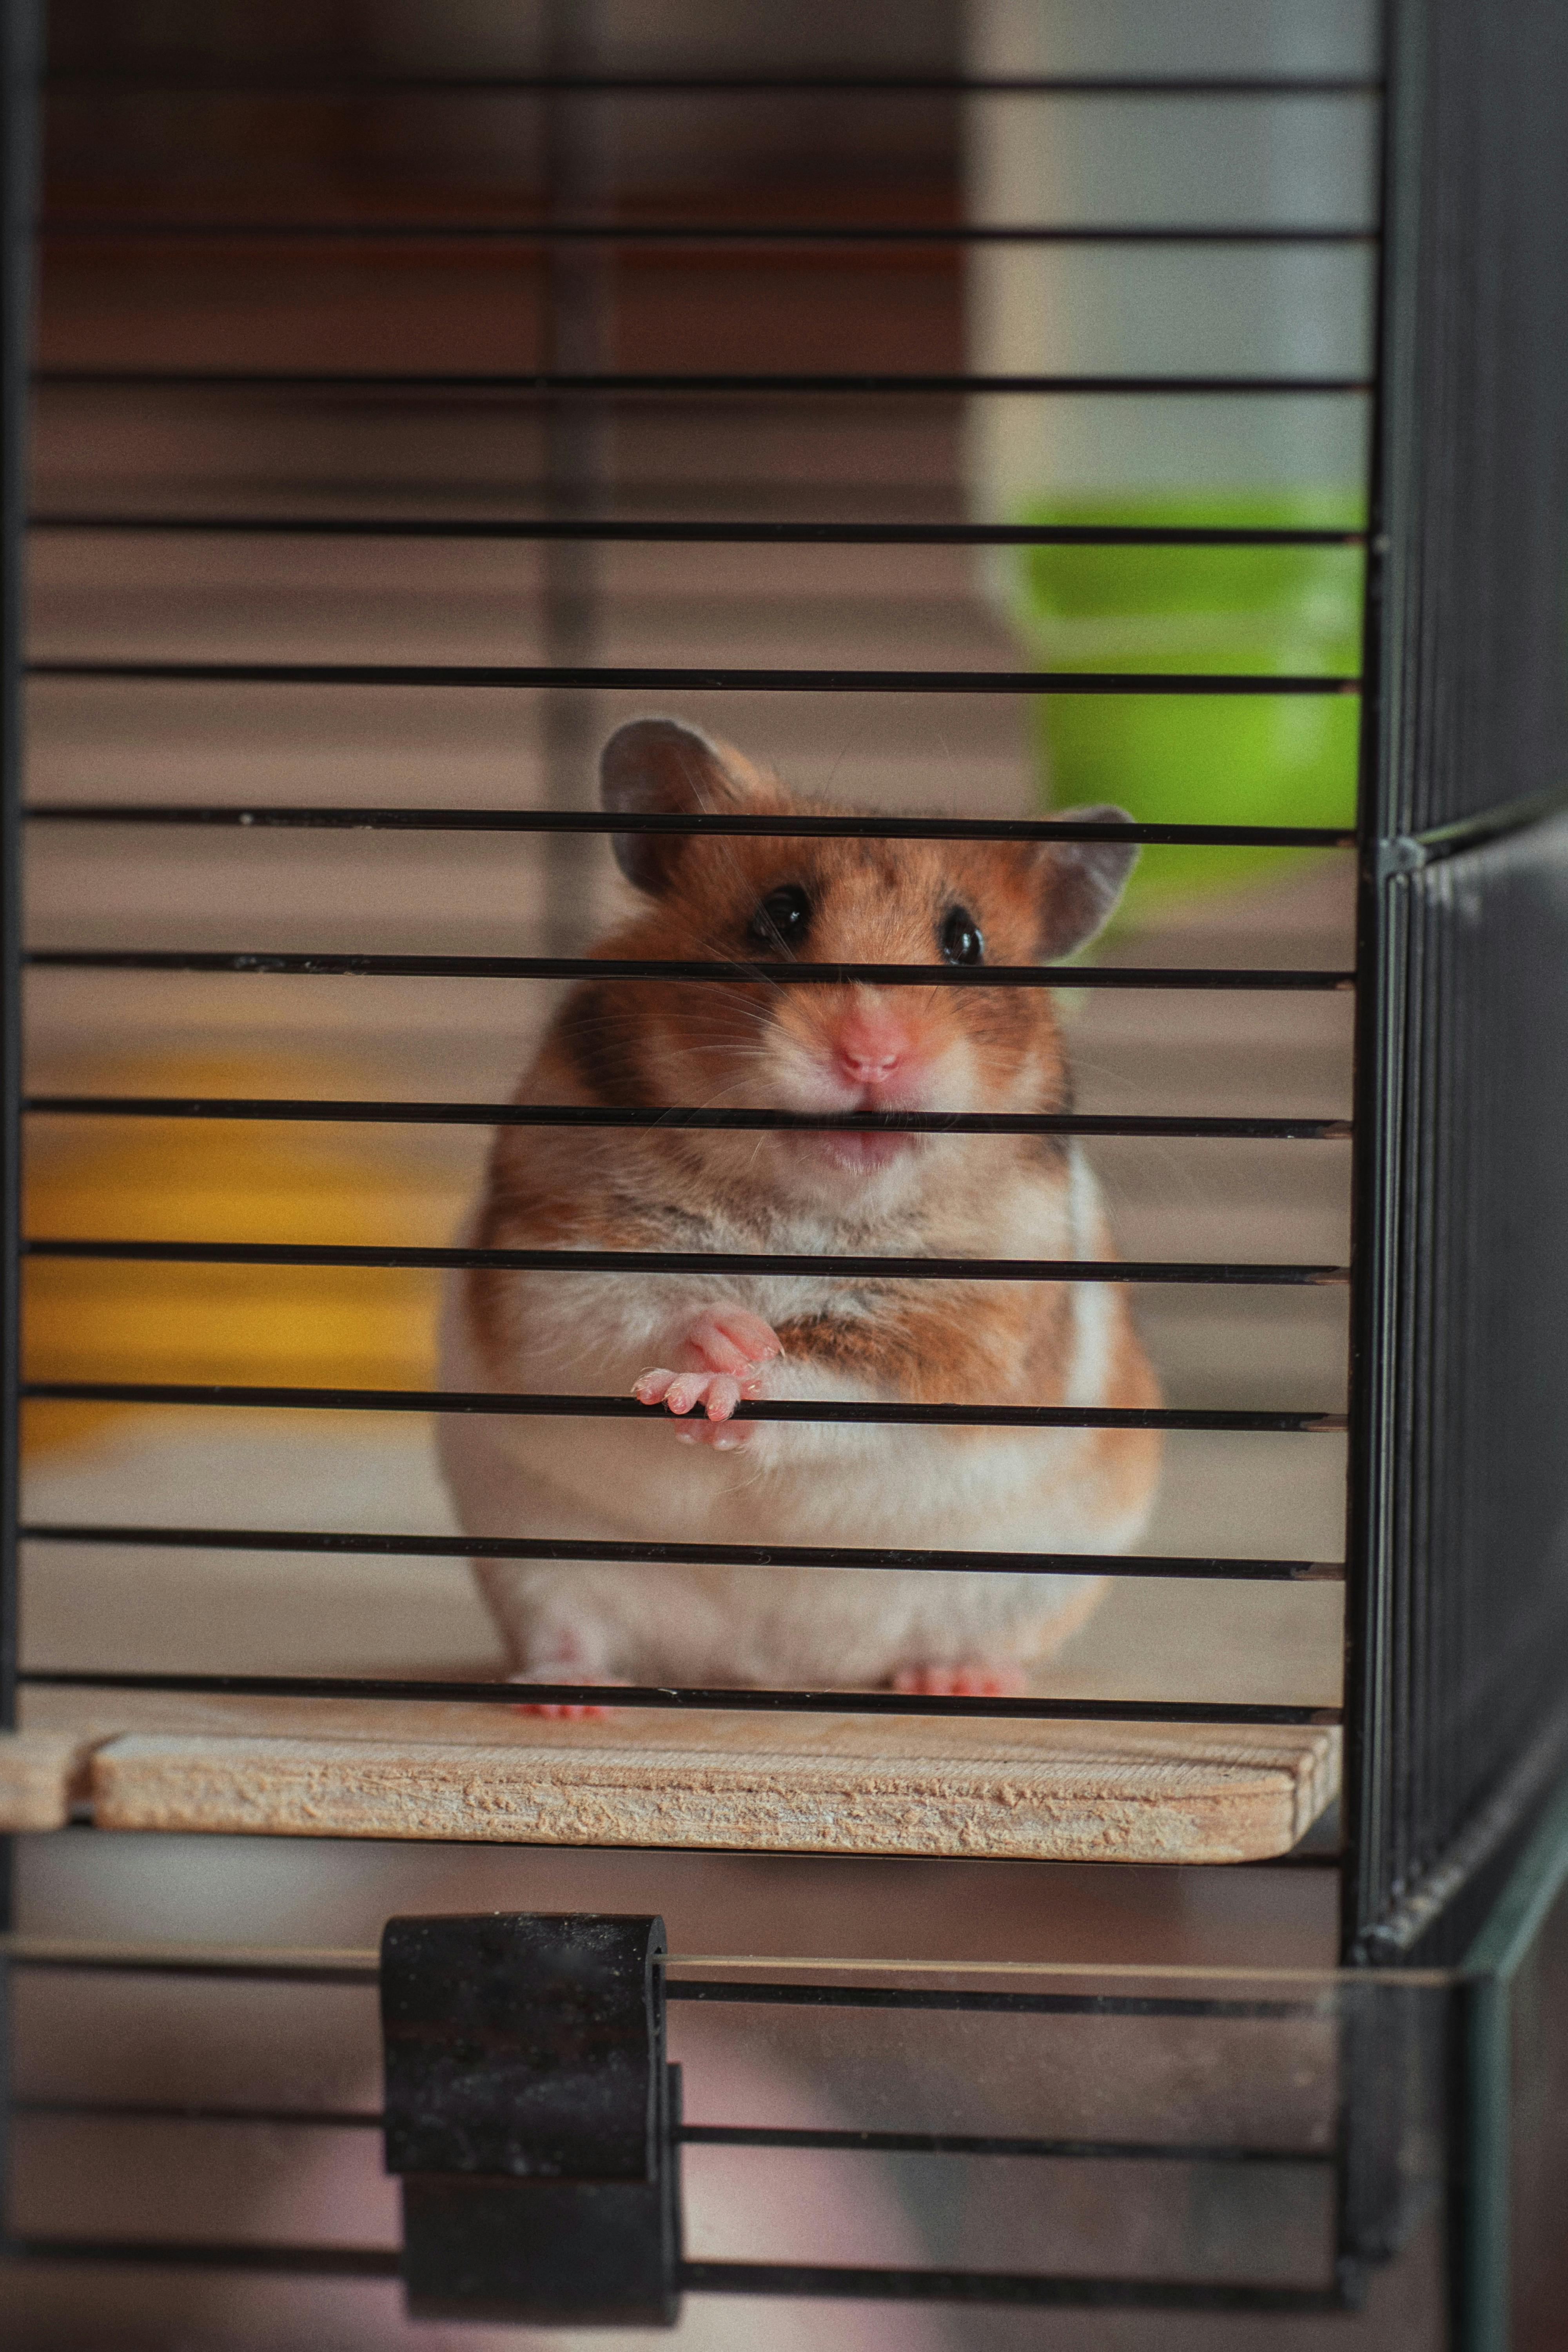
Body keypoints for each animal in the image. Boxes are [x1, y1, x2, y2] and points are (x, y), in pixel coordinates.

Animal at [435, 715, 1161, 1712]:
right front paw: (714, 1348)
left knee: (971, 1637)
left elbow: (833, 1378)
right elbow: (628, 1310)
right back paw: (567, 1696)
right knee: (568, 1630)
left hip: (1035, 1576)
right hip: (534, 1562)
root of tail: (769, 1669)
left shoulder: (964, 1324)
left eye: (964, 941)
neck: (805, 1204)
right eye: (779, 915)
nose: (871, 1056)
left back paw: (957, 1681)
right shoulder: (556, 1249)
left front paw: (724, 1384)